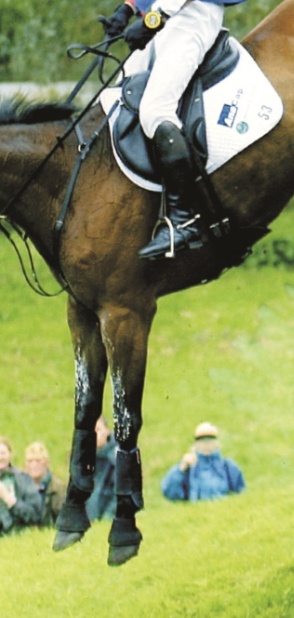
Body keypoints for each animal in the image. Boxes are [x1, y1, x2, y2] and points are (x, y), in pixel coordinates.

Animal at [0, 0, 294, 564]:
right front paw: (72, 519)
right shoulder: (82, 311)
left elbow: (123, 418)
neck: (66, 177)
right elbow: (84, 412)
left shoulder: (125, 312)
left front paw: (123, 530)